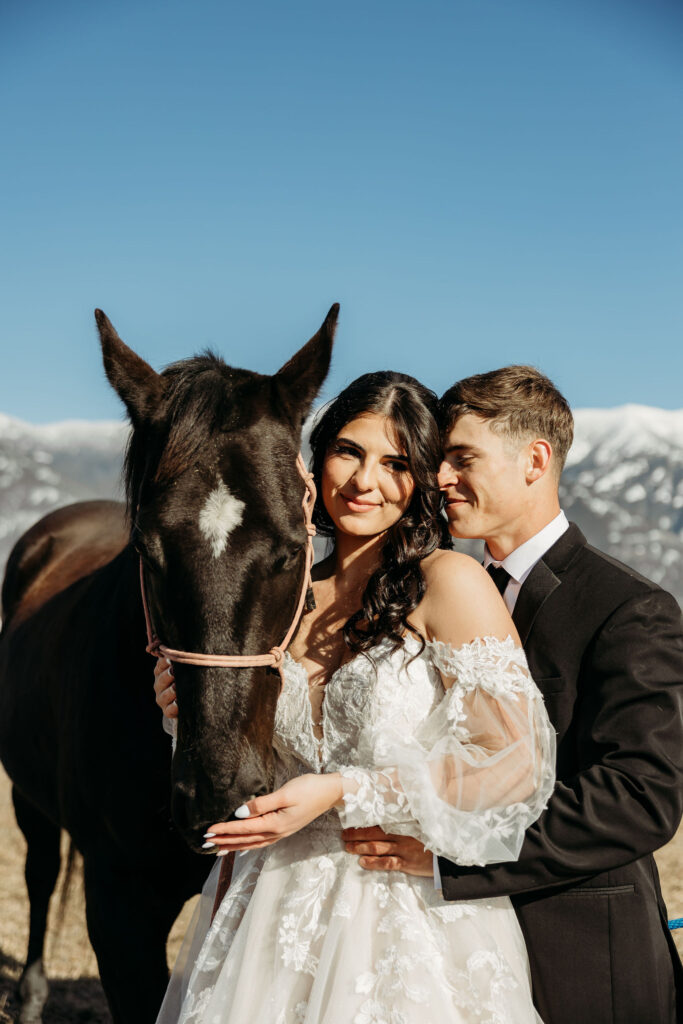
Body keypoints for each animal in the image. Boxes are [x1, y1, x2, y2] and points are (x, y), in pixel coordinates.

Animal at [1, 305, 337, 1024]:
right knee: (40, 873)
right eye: (147, 551)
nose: (218, 791)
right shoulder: (119, 906)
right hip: (26, 794)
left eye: (292, 550)